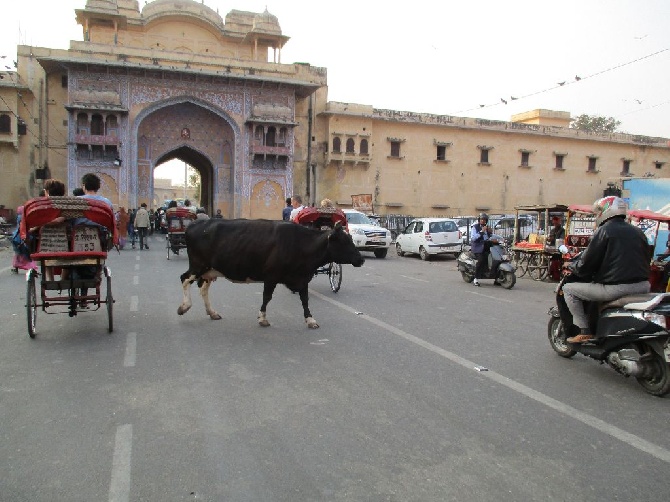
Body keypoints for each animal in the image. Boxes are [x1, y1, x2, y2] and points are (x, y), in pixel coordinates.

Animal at [178, 218, 364, 328]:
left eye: (350, 239)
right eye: (344, 241)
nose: (361, 259)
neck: (300, 245)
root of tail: (196, 224)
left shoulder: (302, 278)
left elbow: (305, 299)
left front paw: (310, 319)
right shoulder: (271, 276)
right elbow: (266, 297)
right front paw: (262, 318)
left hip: (209, 270)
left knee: (203, 288)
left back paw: (212, 312)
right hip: (198, 265)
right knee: (184, 279)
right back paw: (184, 307)